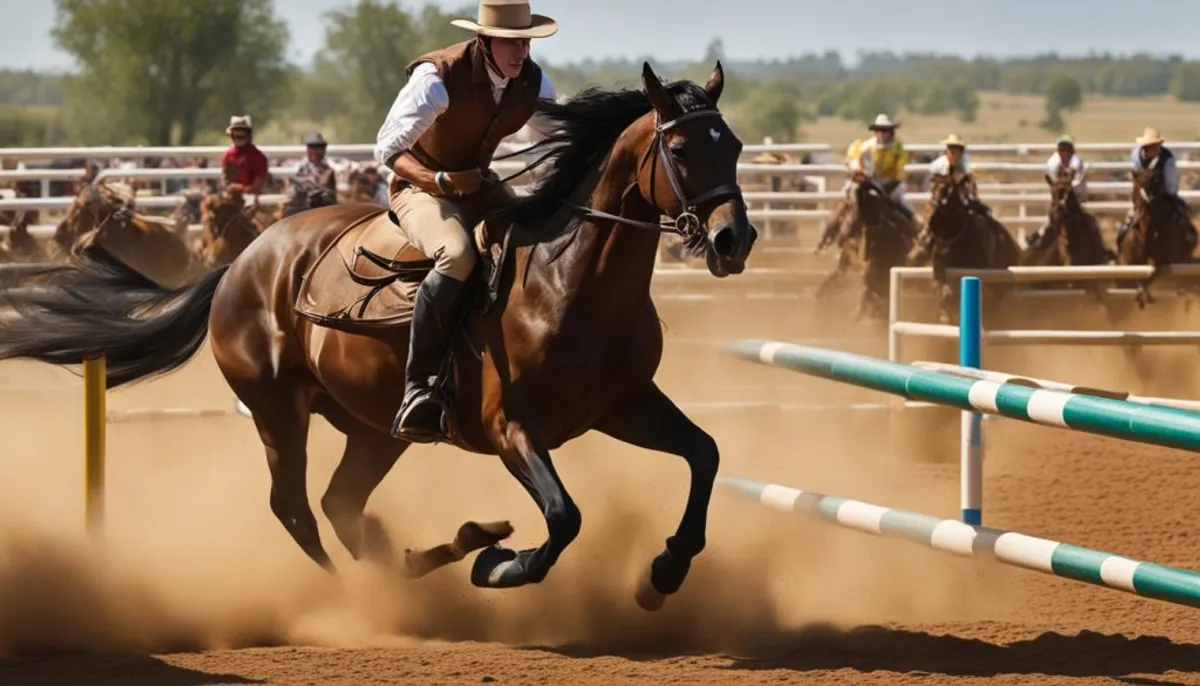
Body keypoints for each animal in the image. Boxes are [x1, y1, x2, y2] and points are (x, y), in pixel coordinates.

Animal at [0, 62, 753, 611]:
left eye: (737, 146)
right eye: (680, 148)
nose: (734, 239)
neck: (568, 281)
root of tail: (242, 263)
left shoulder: (623, 405)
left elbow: (707, 454)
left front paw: (663, 572)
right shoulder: (511, 426)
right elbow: (565, 517)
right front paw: (500, 566)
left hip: (373, 427)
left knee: (342, 505)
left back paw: (430, 556)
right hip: (278, 413)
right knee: (295, 508)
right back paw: (378, 588)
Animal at [1118, 157, 1195, 307]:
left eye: (1157, 180)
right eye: (1140, 182)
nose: (1151, 197)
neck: (1147, 235)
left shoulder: (1164, 262)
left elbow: (1153, 275)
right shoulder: (1133, 262)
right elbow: (1140, 278)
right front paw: (1140, 295)